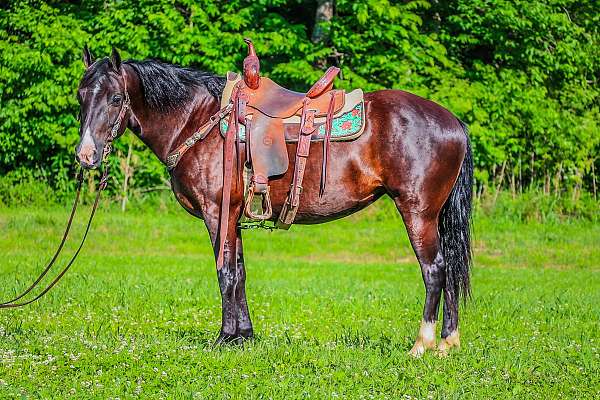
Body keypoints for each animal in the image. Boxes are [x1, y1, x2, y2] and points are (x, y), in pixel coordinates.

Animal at [75, 48, 472, 358]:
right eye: (81, 97)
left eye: (115, 99)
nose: (85, 155)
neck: (197, 121)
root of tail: (453, 121)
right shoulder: (233, 216)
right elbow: (240, 272)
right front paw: (244, 336)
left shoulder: (217, 213)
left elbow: (225, 271)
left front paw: (224, 338)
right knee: (451, 266)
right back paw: (448, 342)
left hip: (418, 212)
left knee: (434, 268)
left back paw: (422, 344)